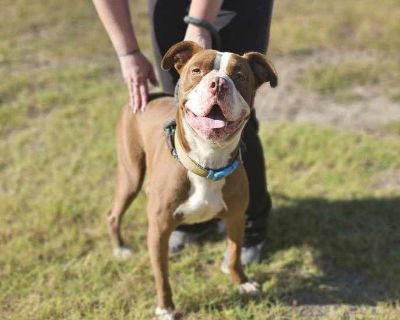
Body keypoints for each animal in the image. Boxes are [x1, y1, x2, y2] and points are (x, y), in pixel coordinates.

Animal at [105, 41, 278, 318]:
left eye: (240, 75)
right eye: (197, 70)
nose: (218, 83)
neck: (207, 162)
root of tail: (148, 96)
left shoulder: (236, 217)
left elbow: (234, 255)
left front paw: (242, 282)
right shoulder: (159, 230)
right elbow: (161, 275)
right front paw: (165, 307)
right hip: (131, 175)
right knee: (113, 213)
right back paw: (121, 249)